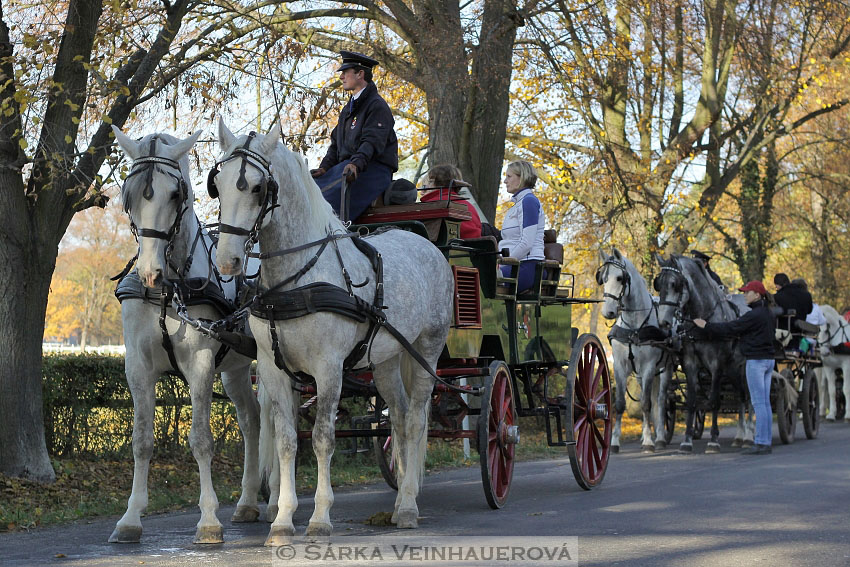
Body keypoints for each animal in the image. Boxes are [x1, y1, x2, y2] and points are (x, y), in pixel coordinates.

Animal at [111, 129, 262, 544]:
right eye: (128, 195)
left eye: (175, 195)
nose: (150, 272)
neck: (169, 291)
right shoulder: (138, 368)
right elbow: (141, 442)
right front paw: (130, 517)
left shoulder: (201, 365)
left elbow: (201, 440)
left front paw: (208, 520)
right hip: (237, 370)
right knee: (253, 421)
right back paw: (250, 501)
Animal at [210, 120, 454, 544]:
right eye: (218, 184)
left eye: (258, 188)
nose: (228, 261)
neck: (295, 279)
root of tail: (425, 242)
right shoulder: (274, 370)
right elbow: (287, 442)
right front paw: (282, 519)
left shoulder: (328, 369)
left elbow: (324, 438)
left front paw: (320, 517)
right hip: (386, 360)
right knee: (399, 418)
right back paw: (398, 503)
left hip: (428, 348)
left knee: (417, 419)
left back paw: (408, 506)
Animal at [592, 248, 672, 452]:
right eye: (602, 278)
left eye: (620, 278)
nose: (608, 312)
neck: (634, 326)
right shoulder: (620, 366)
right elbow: (620, 404)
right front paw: (614, 442)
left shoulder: (649, 367)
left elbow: (645, 404)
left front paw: (649, 441)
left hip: (665, 369)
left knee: (660, 401)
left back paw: (660, 437)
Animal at [652, 256, 752, 452]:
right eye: (658, 284)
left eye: (675, 284)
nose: (664, 322)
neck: (702, 322)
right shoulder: (690, 364)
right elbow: (692, 400)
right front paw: (687, 440)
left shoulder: (716, 366)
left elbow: (714, 401)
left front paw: (713, 440)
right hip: (732, 369)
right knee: (740, 396)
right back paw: (739, 437)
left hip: (744, 368)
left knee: (748, 397)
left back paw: (747, 435)